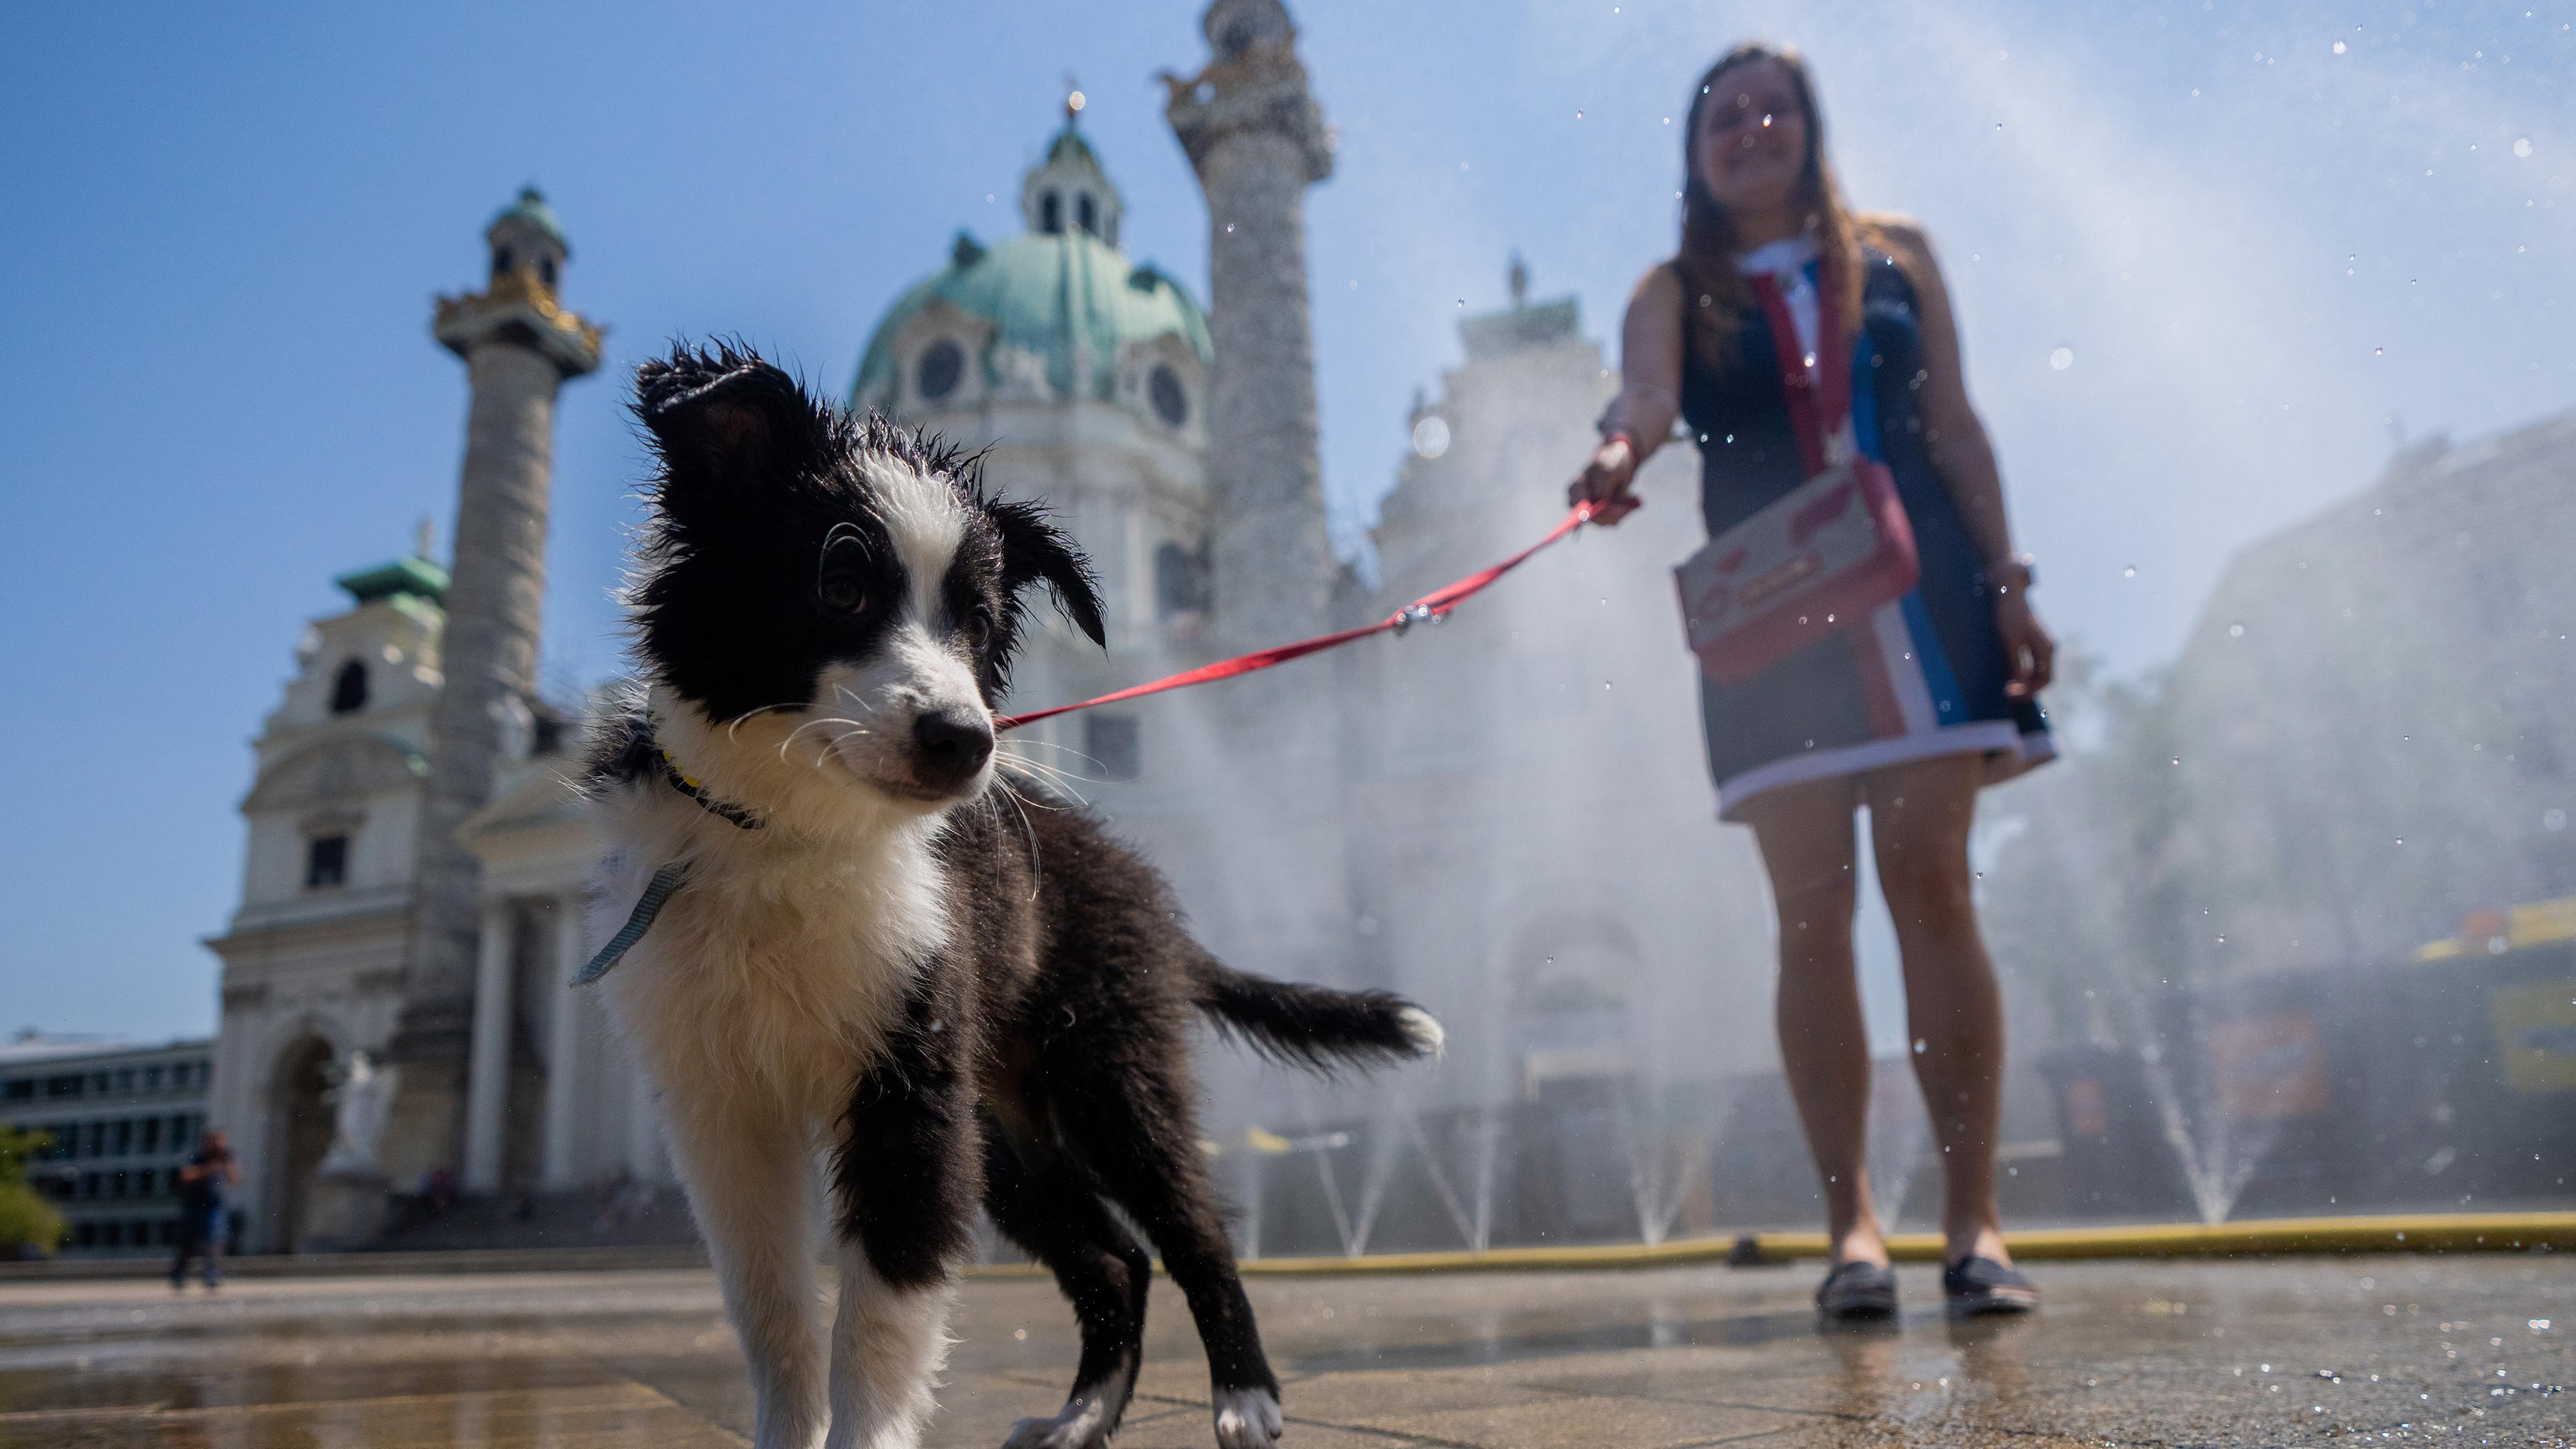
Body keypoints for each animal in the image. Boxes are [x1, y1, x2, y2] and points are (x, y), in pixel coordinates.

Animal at [584, 343, 1442, 1444]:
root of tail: (1135, 879)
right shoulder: (721, 1109)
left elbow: (876, 1324)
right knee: (1117, 1259)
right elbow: (772, 1316)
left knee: (1194, 1232)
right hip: (1004, 1126)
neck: (790, 833)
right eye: (840, 583)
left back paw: (1246, 1396)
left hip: (1108, 1076)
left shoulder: (910, 1094)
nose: (967, 743)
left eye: (981, 623)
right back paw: (1083, 1417)